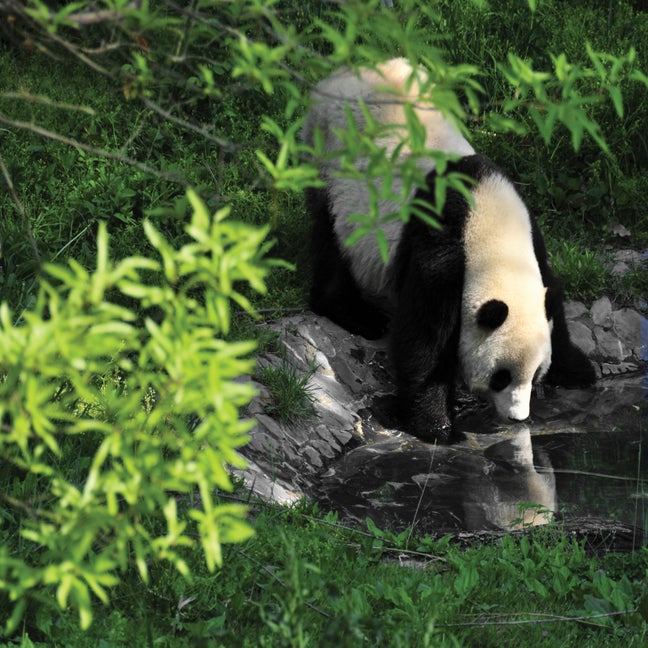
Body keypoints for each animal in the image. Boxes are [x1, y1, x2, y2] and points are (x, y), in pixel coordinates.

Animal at [302, 58, 596, 442]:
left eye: (535, 375)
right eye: (501, 377)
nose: (518, 417)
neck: (492, 232)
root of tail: (342, 73)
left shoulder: (532, 236)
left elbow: (553, 302)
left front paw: (578, 370)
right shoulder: (440, 248)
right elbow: (423, 341)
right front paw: (437, 426)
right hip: (330, 160)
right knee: (330, 238)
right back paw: (358, 315)